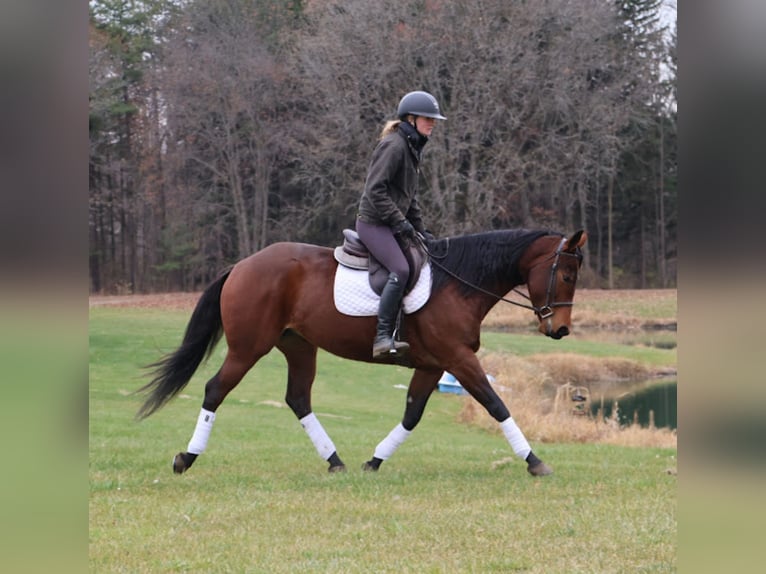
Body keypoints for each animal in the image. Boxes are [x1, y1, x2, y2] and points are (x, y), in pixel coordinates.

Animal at [136, 228, 587, 477]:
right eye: (566, 275)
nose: (560, 330)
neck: (457, 284)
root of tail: (243, 265)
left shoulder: (433, 364)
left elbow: (412, 414)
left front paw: (375, 461)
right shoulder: (459, 360)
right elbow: (496, 405)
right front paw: (534, 461)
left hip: (299, 346)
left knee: (298, 398)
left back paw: (335, 461)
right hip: (248, 348)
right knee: (215, 390)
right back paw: (186, 458)